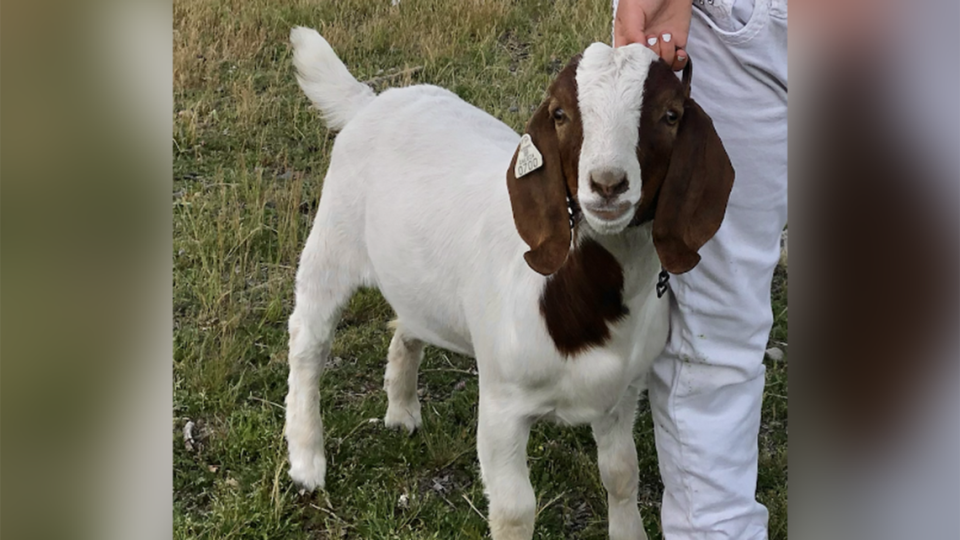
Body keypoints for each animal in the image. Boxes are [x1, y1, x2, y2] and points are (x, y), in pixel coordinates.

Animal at [284, 26, 736, 540]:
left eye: (670, 115)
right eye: (559, 114)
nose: (607, 184)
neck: (584, 297)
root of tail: (369, 102)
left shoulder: (623, 394)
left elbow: (622, 474)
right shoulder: (503, 405)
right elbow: (514, 510)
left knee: (406, 325)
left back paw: (401, 412)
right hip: (332, 241)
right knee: (308, 342)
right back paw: (307, 461)